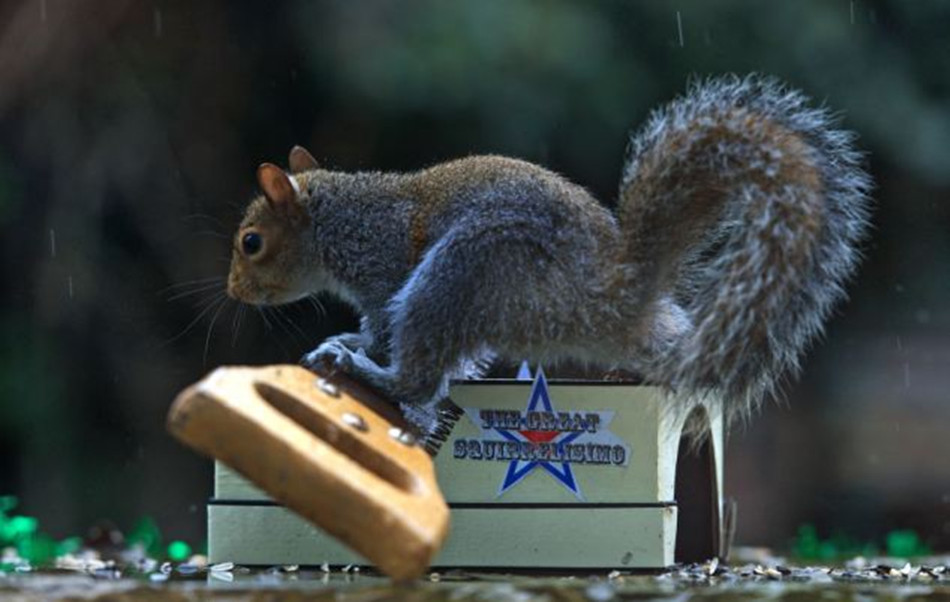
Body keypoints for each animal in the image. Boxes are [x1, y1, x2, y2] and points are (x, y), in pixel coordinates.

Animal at [225, 75, 872, 434]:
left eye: (251, 243)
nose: (234, 291)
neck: (341, 219)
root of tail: (612, 297)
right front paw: (346, 338)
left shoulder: (384, 272)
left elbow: (384, 327)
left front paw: (352, 348)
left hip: (460, 273)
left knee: (419, 376)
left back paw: (371, 374)